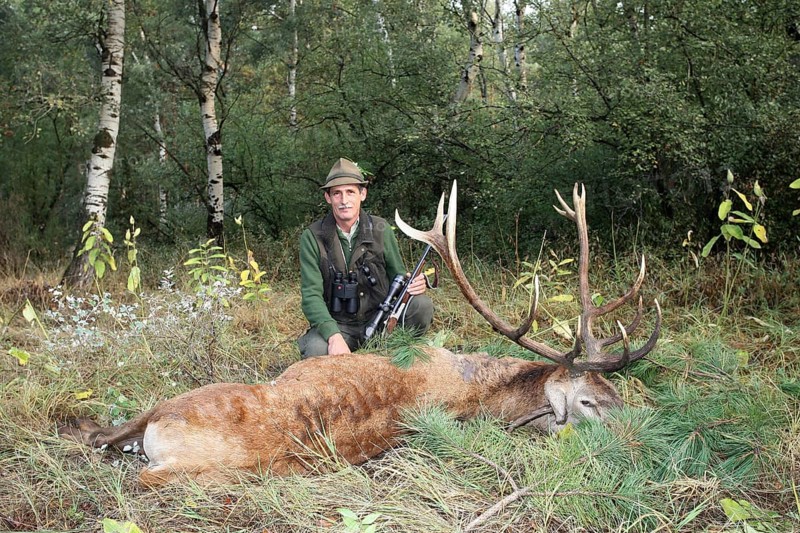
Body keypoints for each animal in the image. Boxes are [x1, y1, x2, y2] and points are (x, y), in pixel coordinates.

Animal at [58, 182, 661, 488]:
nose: (644, 442)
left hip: (179, 421)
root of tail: (161, 429)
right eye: (591, 400)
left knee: (124, 456)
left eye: (618, 394)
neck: (480, 384)